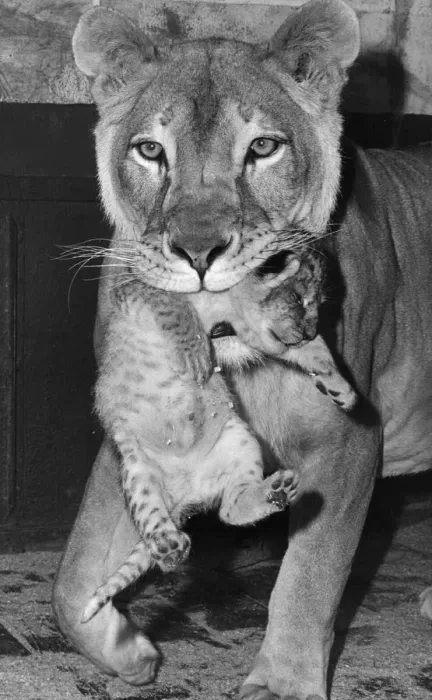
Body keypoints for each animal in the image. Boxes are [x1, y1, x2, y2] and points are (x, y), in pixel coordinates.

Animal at [52, 1, 432, 698]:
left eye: (262, 148)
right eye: (151, 150)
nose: (199, 255)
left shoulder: (347, 443)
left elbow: (308, 579)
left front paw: (281, 683)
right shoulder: (130, 433)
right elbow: (73, 578)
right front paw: (130, 654)